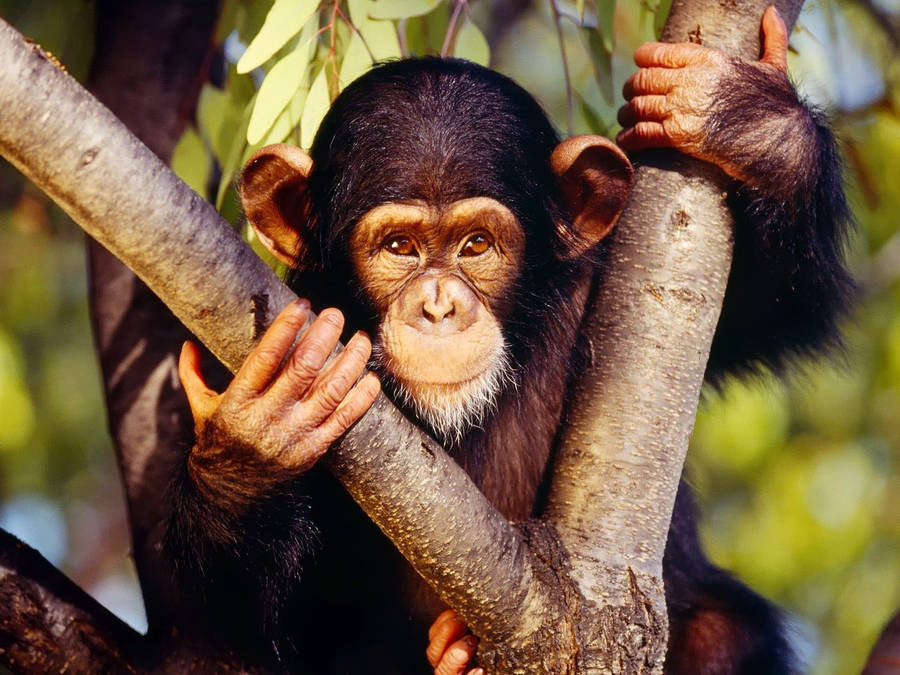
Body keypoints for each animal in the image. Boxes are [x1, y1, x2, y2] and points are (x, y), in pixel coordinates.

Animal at [167, 7, 852, 673]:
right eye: (399, 247)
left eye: (476, 244)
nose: (439, 306)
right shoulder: (256, 323)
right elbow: (236, 625)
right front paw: (257, 441)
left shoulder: (610, 281)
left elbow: (774, 307)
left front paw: (750, 122)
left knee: (724, 632)